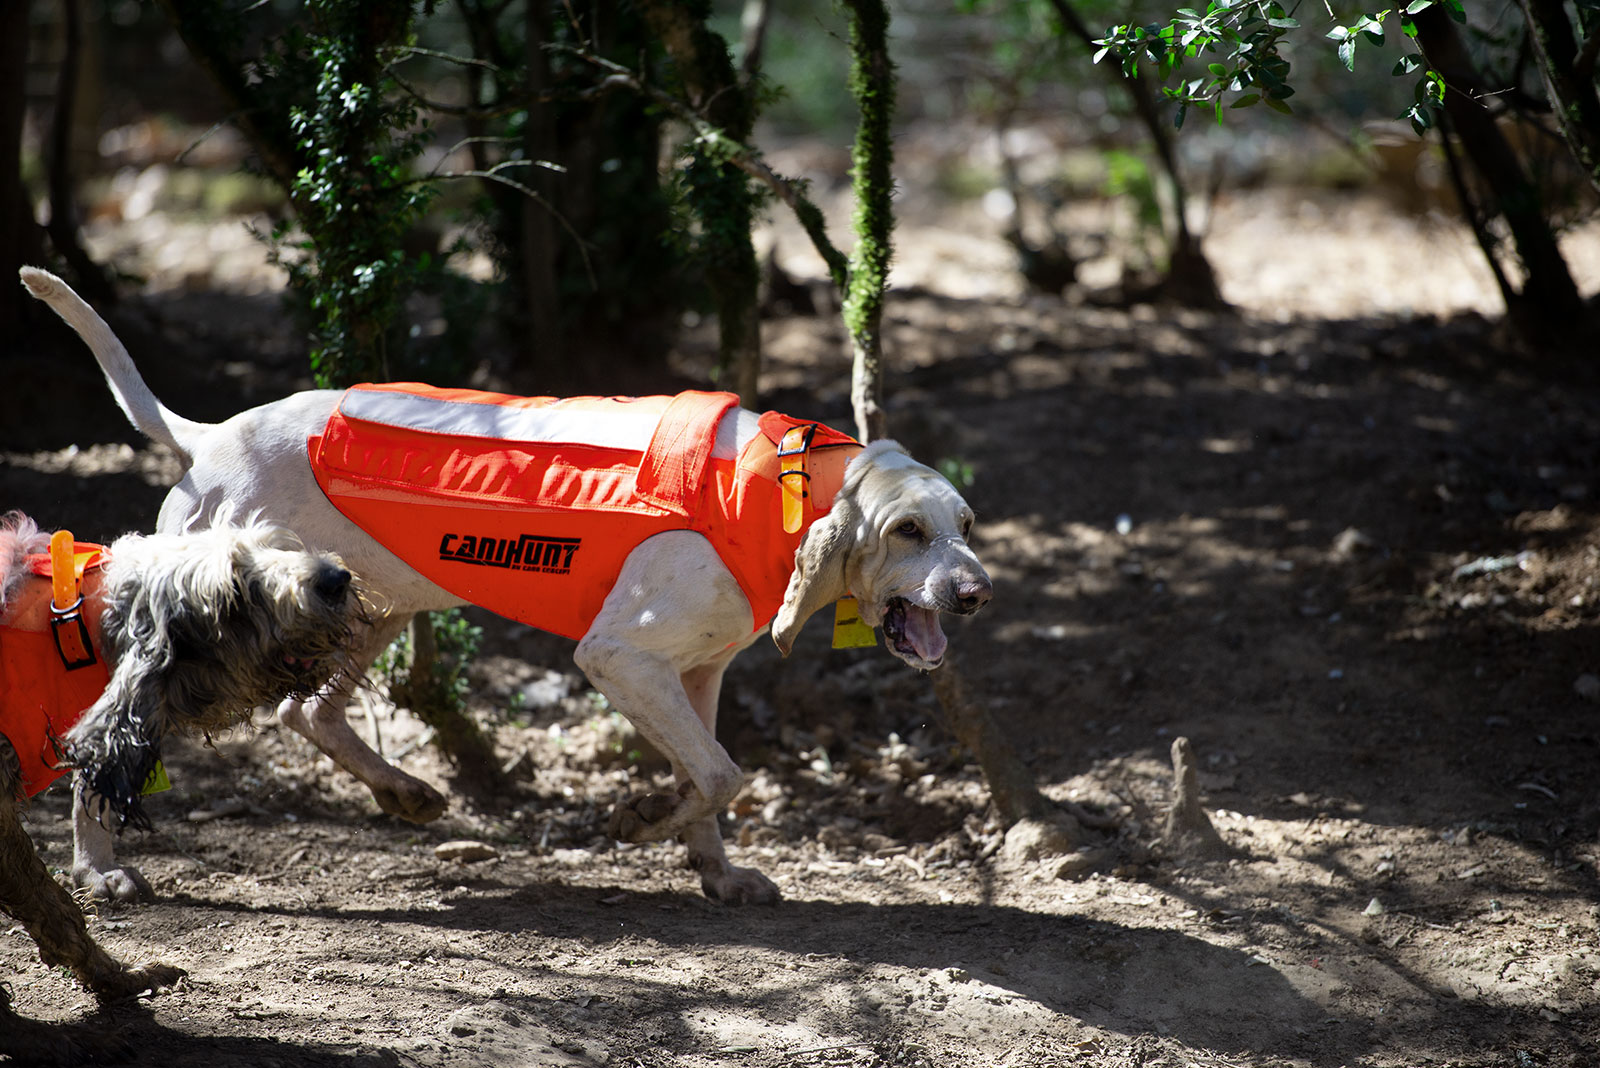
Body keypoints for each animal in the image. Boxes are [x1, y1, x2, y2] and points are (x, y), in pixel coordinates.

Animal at [0, 511, 363, 1061]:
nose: (334, 579)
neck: (73, 629)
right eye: (236, 591)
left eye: (272, 546)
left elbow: (55, 908)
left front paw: (118, 979)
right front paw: (45, 1034)